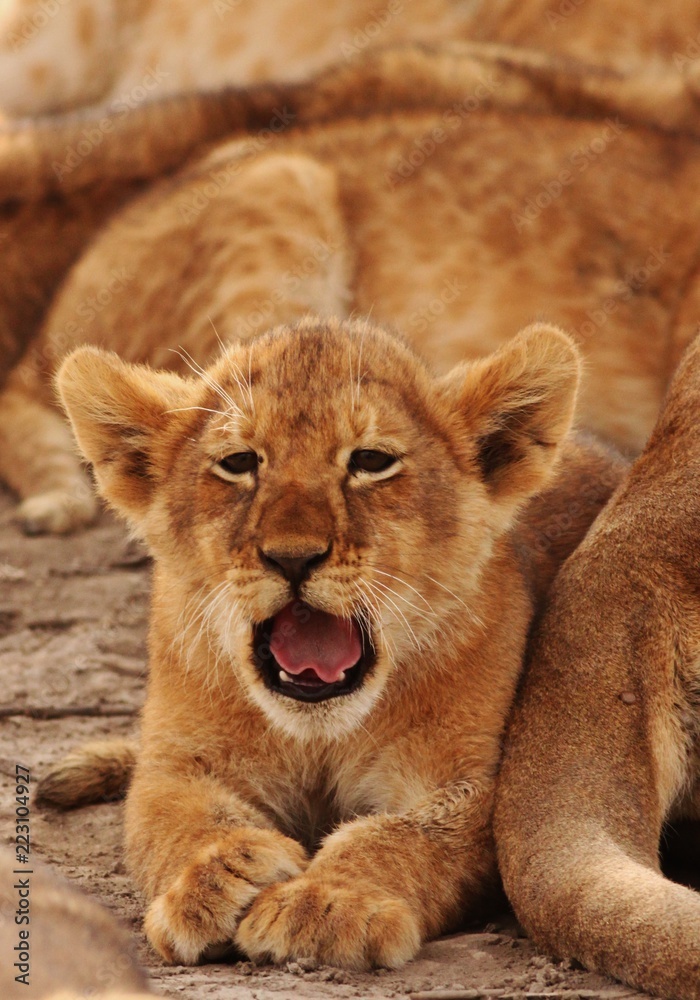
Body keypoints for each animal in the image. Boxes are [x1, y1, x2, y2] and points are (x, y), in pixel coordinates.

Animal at [41, 316, 628, 969]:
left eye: (371, 461)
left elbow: (401, 834)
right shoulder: (178, 761)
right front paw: (217, 877)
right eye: (239, 462)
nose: (293, 557)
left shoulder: (477, 780)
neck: (317, 736)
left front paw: (326, 902)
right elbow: (177, 818)